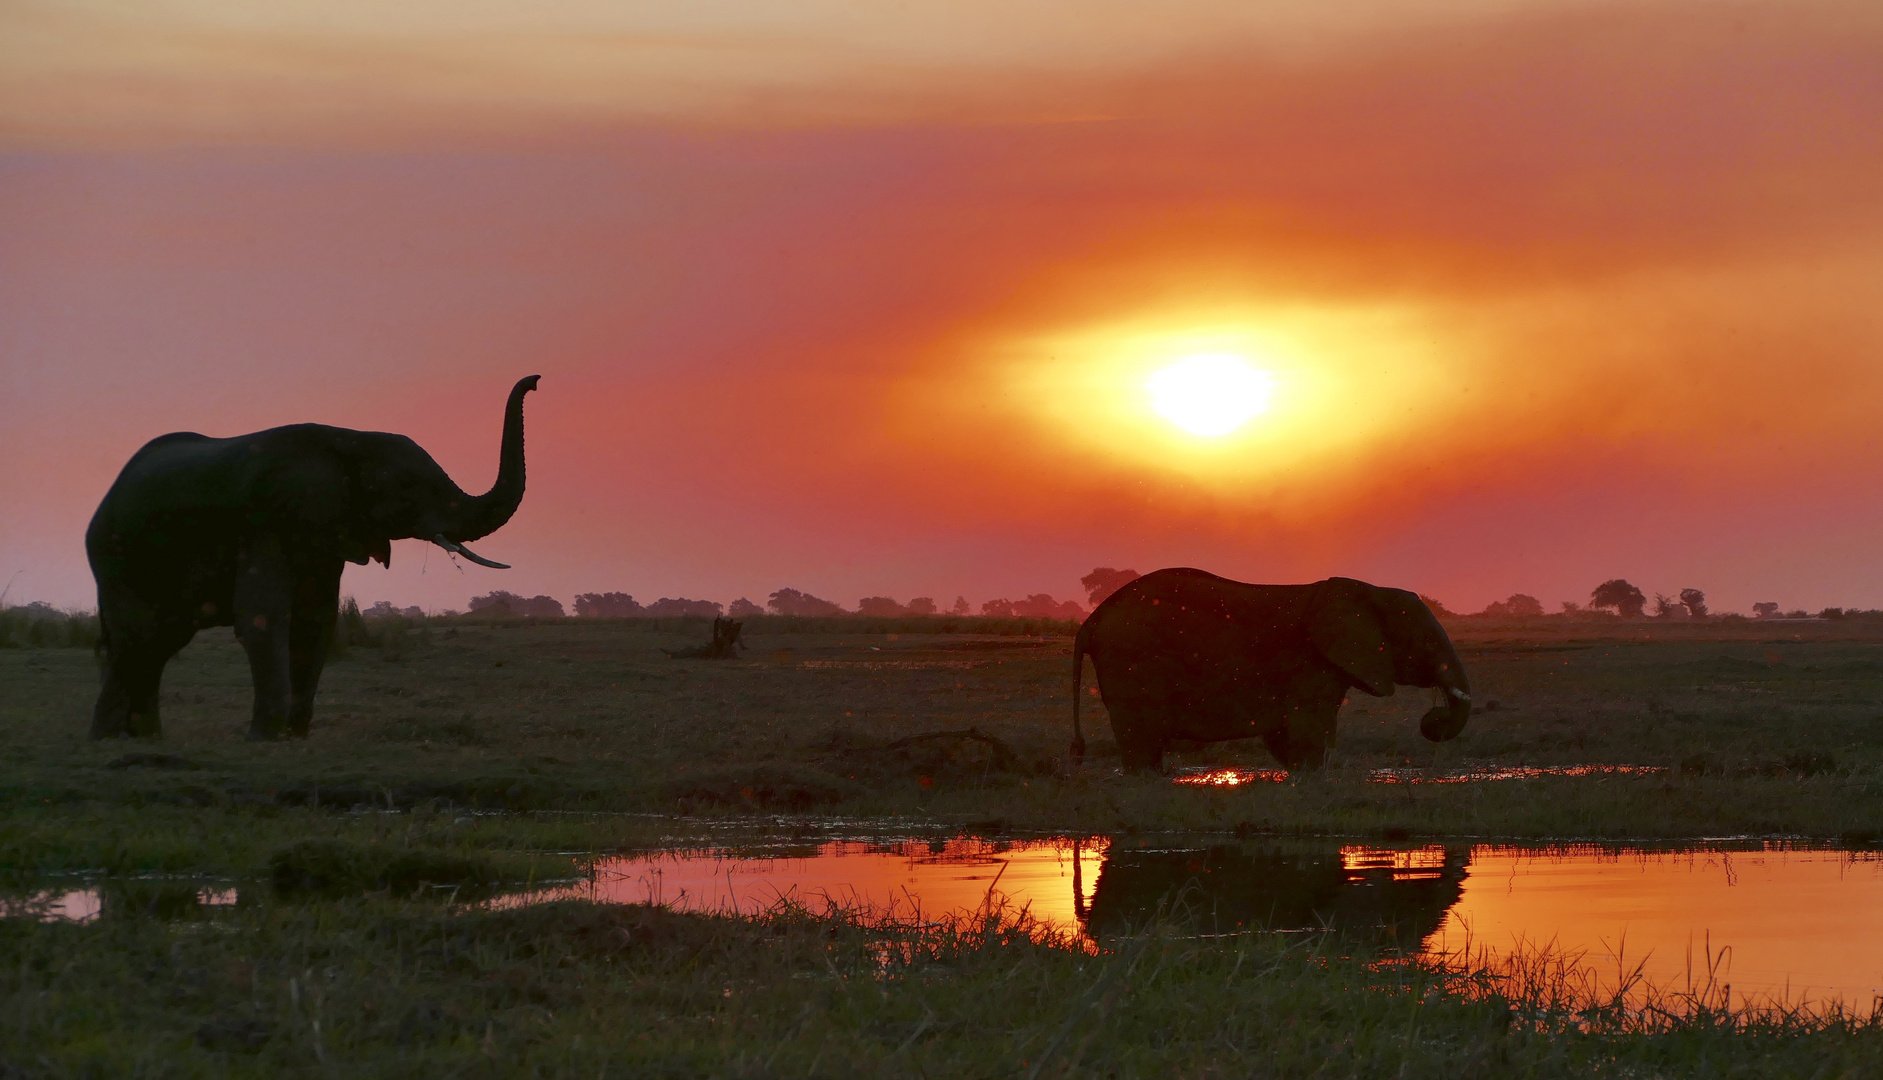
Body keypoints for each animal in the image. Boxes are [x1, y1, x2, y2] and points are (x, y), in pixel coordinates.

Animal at [88, 376, 546, 741]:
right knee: (137, 635)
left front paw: (294, 736)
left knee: (157, 641)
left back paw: (140, 738)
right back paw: (110, 740)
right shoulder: (266, 521)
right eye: (407, 488)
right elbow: (263, 616)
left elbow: (317, 620)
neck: (349, 439)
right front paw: (264, 739)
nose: (537, 381)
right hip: (114, 556)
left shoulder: (327, 533)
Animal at [1077, 571, 1468, 775]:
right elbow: (1310, 730)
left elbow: (1287, 735)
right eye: (1424, 640)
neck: (1368, 590)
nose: (1432, 718)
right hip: (1131, 661)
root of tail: (1092, 620)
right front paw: (1315, 781)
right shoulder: (1310, 661)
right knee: (1141, 740)